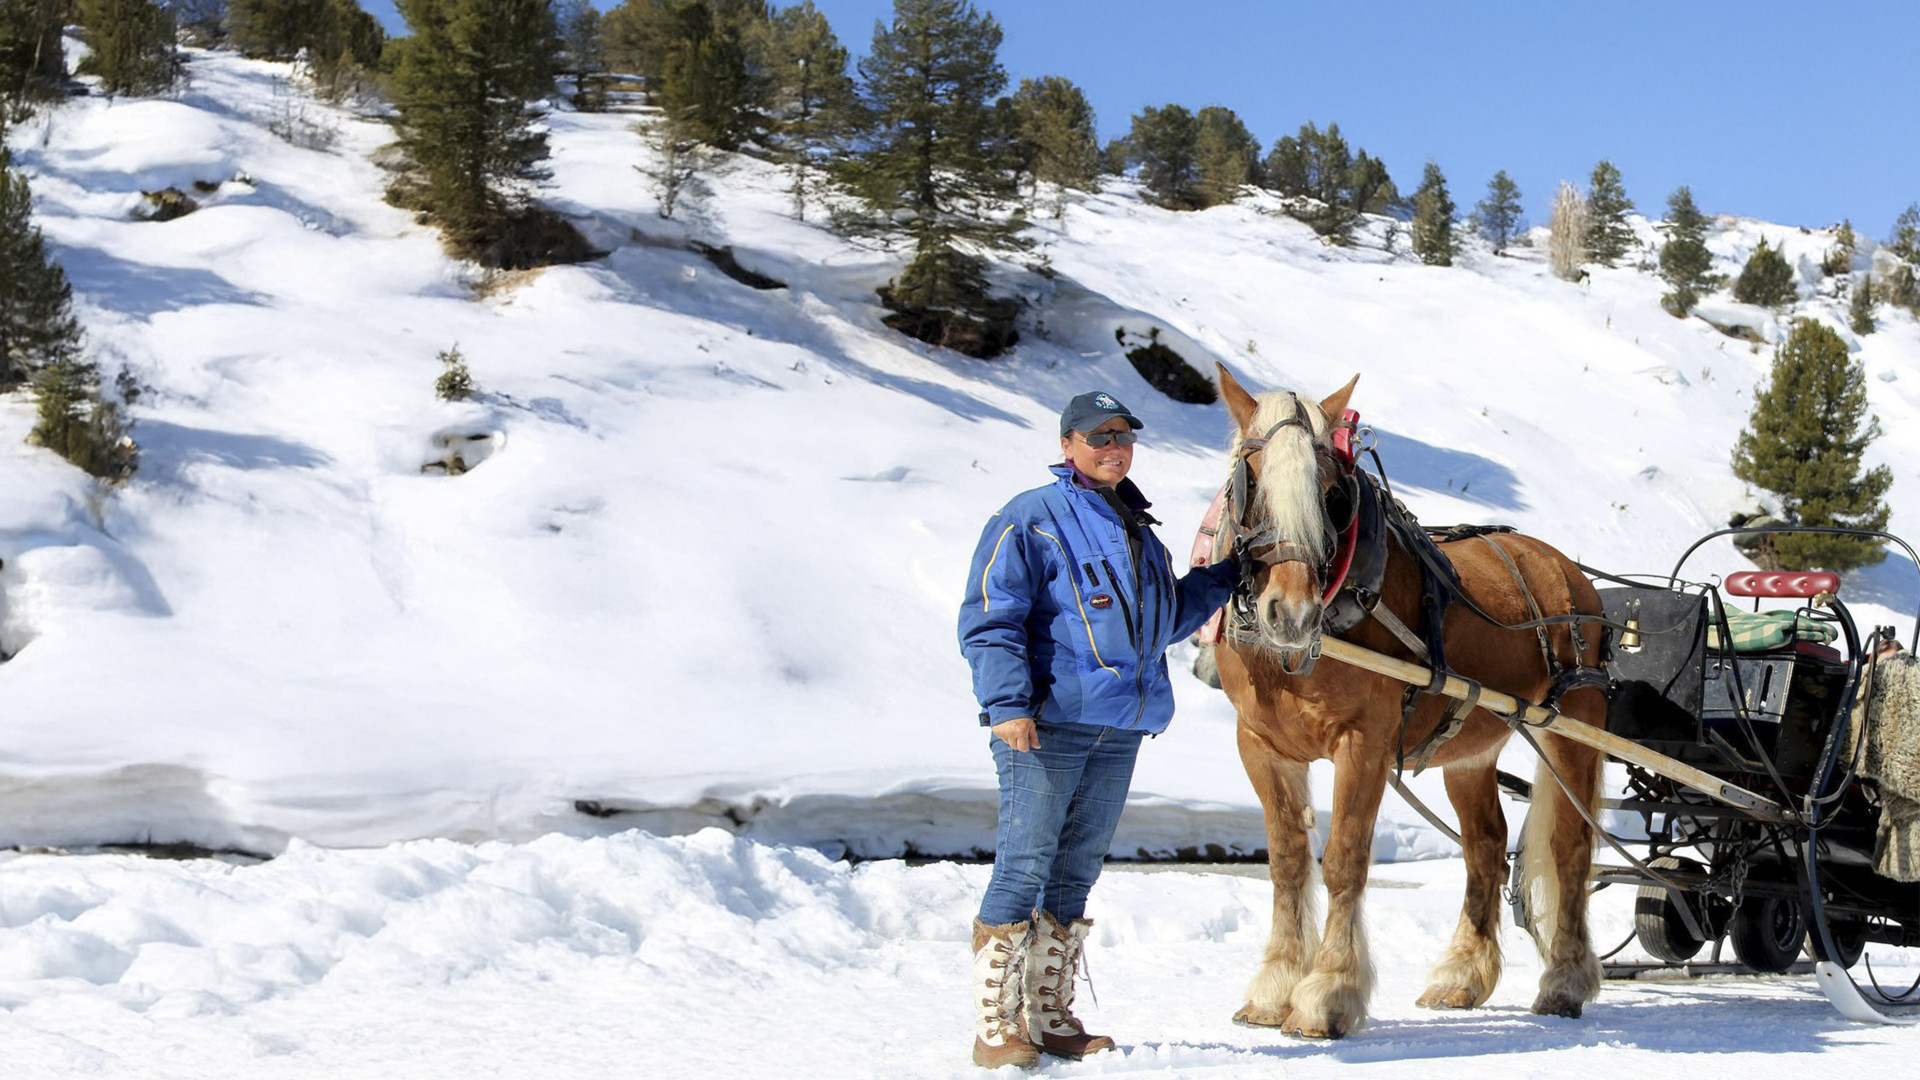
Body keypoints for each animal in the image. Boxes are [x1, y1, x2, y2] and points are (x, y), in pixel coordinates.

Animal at [1213, 365, 1605, 1037]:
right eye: (1253, 481)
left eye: (1332, 495)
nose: (1291, 615)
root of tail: (1568, 571)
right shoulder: (1259, 745)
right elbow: (1288, 862)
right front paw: (1273, 989)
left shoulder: (1364, 743)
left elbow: (1344, 859)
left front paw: (1326, 994)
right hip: (1469, 751)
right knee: (1485, 847)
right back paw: (1462, 975)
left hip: (1573, 736)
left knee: (1570, 849)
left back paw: (1564, 982)